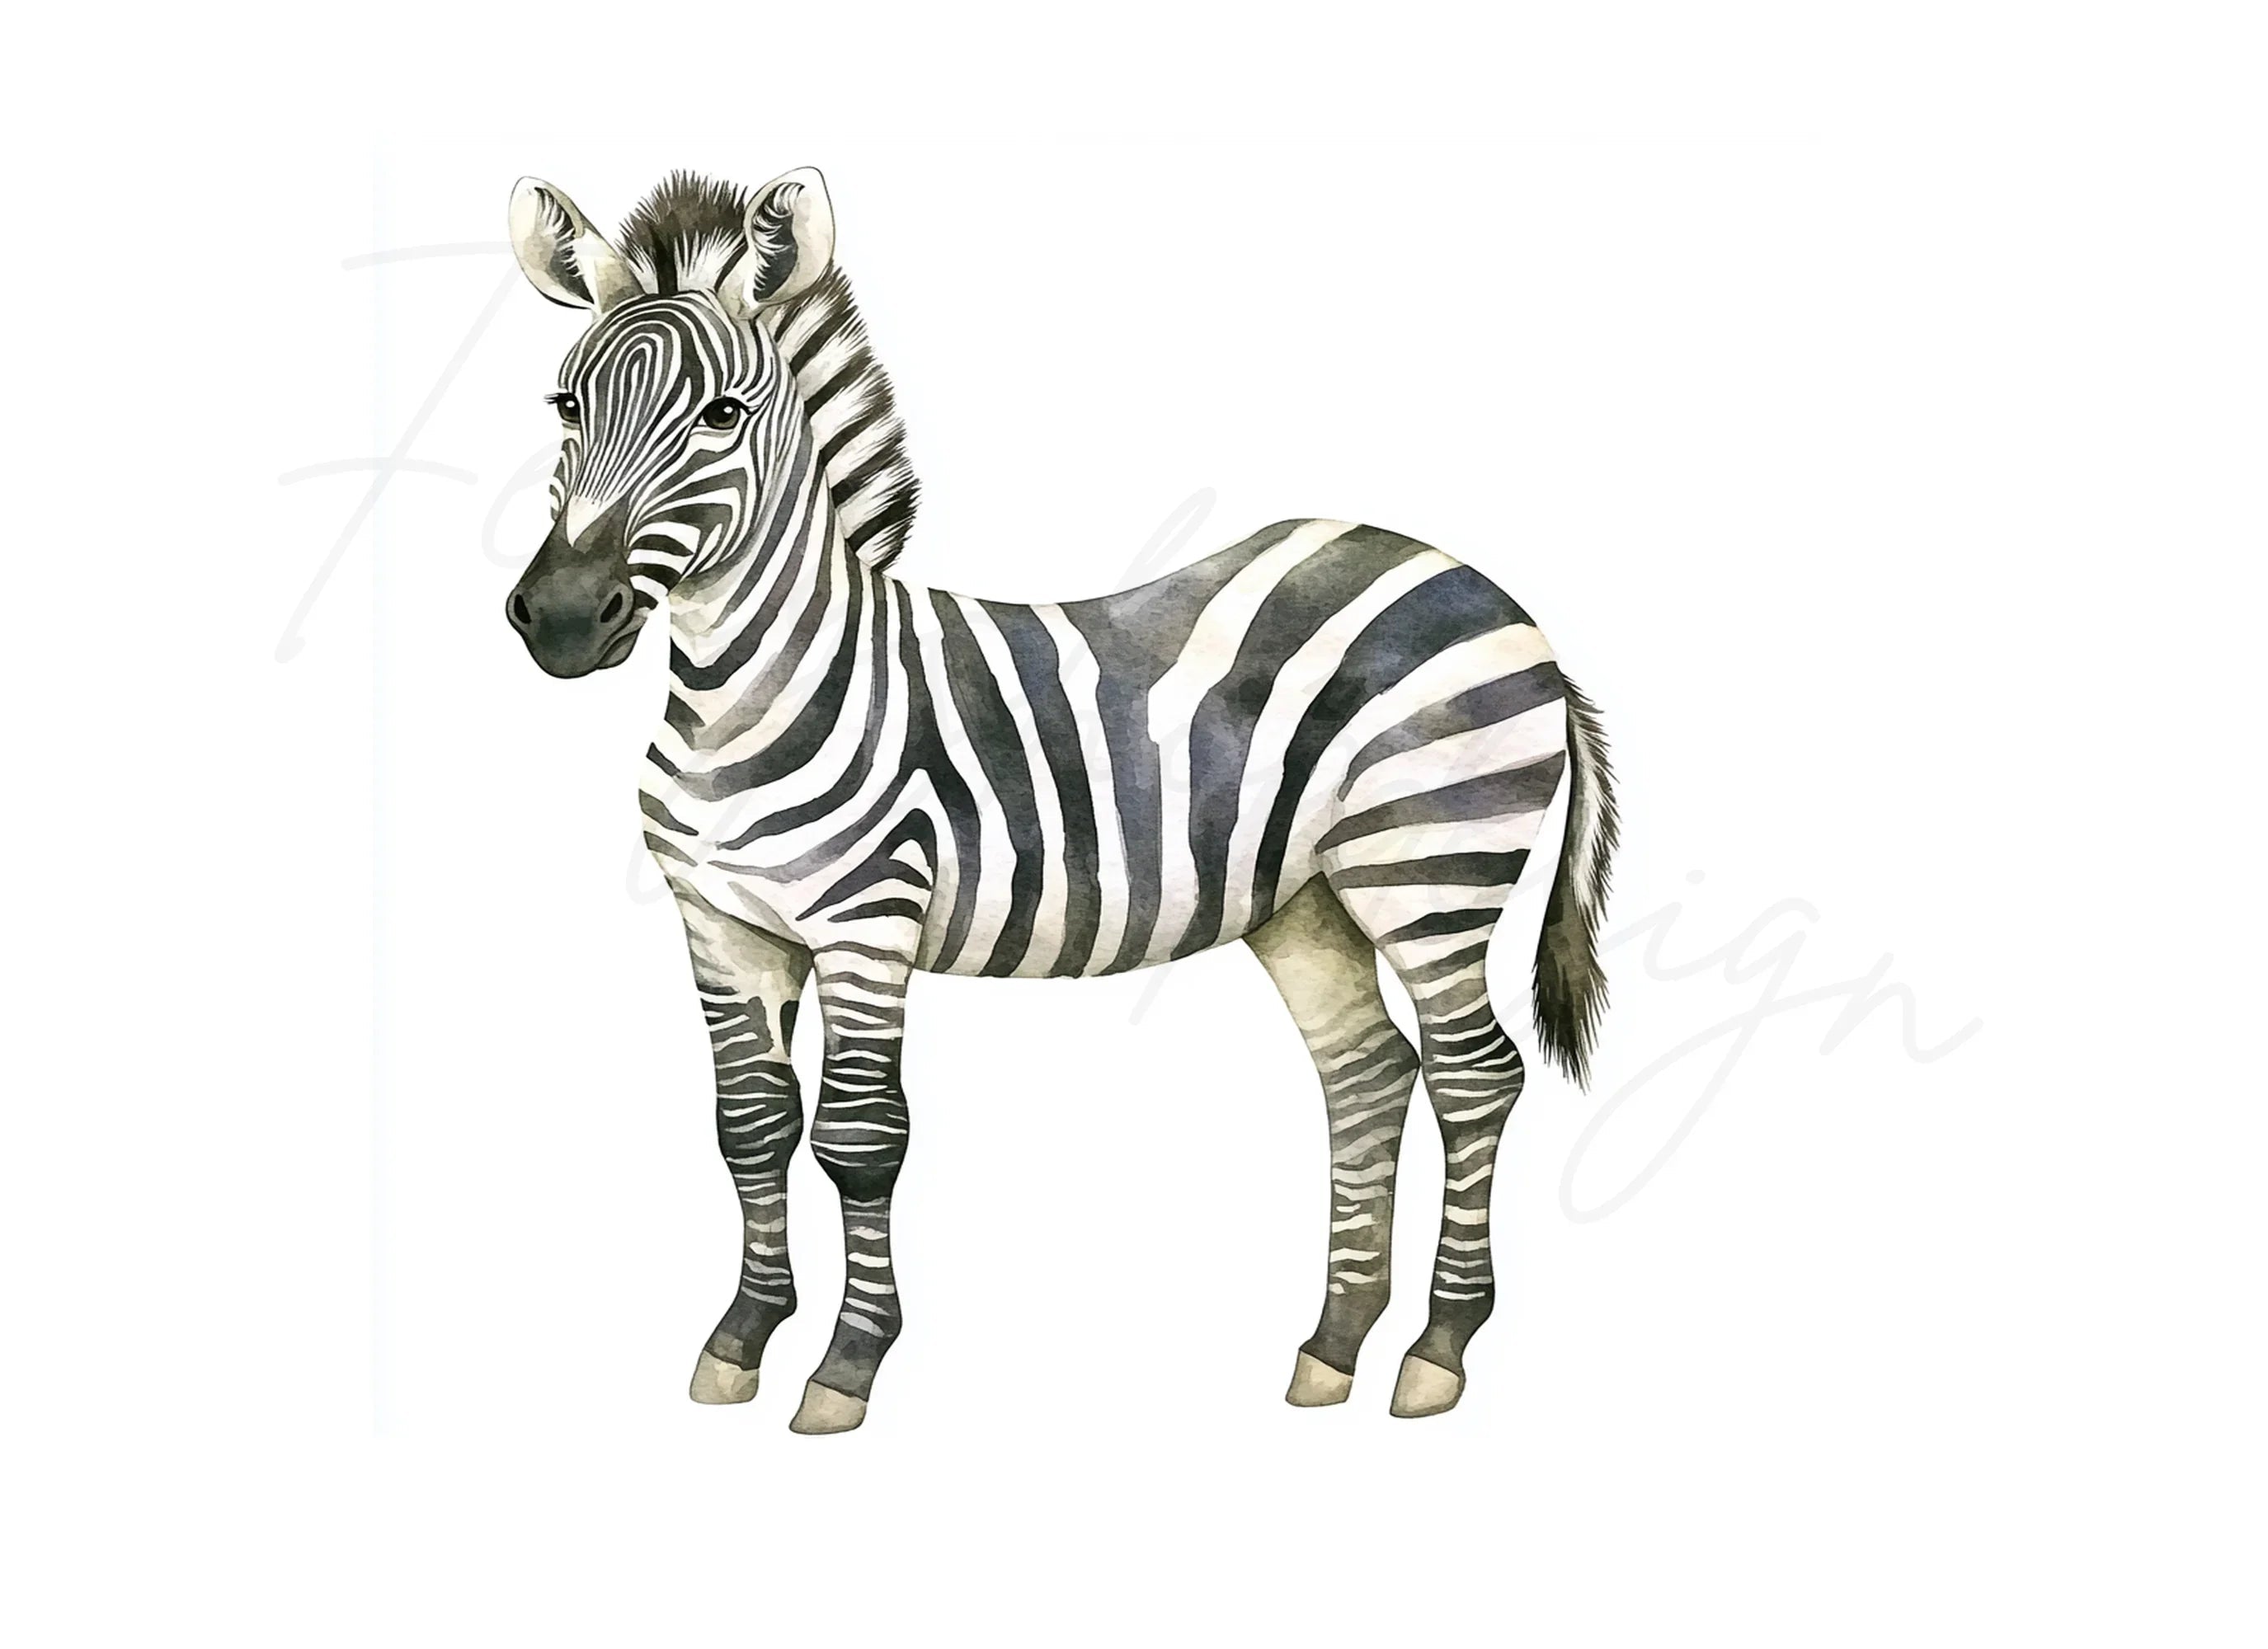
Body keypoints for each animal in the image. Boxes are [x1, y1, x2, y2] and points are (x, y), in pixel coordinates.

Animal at [502, 167, 1619, 1432]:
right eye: (565, 407)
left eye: (723, 416)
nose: (560, 619)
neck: (741, 697)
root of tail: (1489, 590)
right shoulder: (721, 929)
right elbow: (748, 1128)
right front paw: (739, 1339)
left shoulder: (866, 918)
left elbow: (860, 1138)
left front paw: (846, 1364)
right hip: (1308, 900)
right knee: (1368, 1075)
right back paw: (1334, 1346)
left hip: (1429, 863)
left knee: (1474, 1077)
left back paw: (1437, 1348)